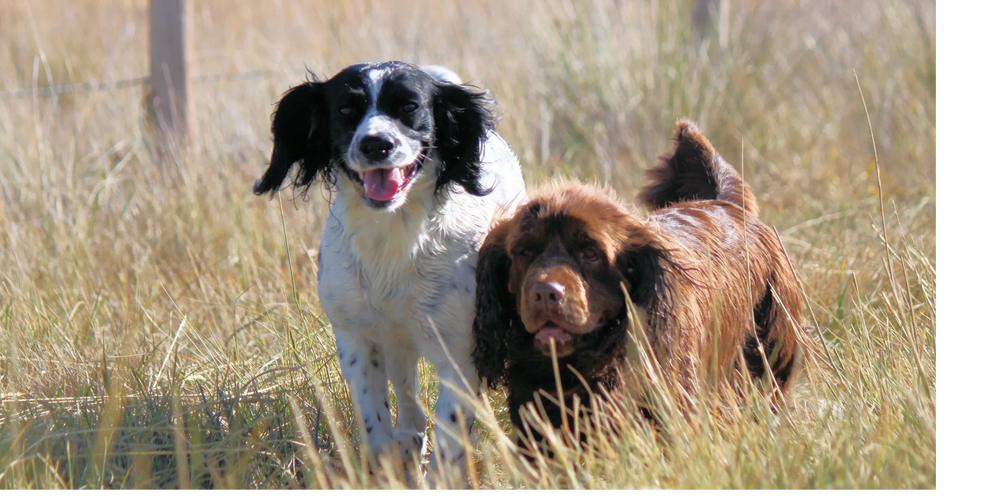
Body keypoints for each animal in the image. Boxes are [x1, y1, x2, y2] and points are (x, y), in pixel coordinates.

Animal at [253, 60, 526, 469]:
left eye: (409, 107)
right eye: (345, 110)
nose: (375, 144)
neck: (393, 238)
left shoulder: (459, 354)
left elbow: (448, 443)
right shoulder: (357, 339)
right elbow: (378, 431)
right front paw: (395, 462)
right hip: (397, 343)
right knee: (410, 401)